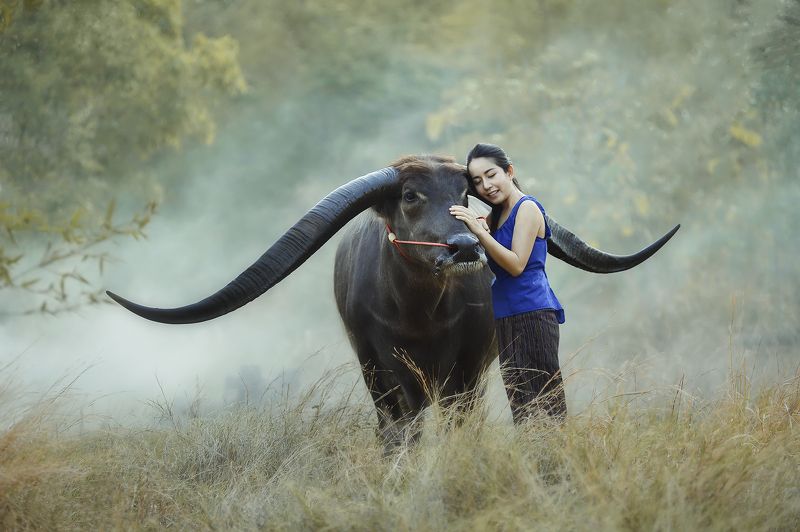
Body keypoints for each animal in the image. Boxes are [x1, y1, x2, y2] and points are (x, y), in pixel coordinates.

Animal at [108, 154, 679, 444]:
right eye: (410, 195)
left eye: (465, 192)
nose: (465, 246)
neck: (421, 314)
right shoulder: (381, 366)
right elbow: (401, 428)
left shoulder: (468, 368)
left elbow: (459, 422)